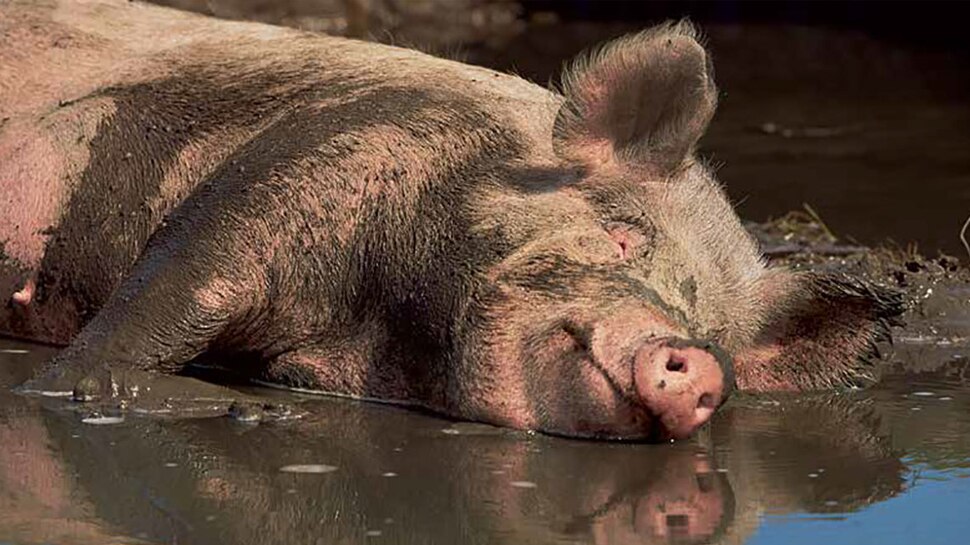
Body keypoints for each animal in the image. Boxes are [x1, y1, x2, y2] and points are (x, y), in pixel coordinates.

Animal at [0, 0, 902, 441]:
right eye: (622, 234)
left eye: (716, 327)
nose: (699, 358)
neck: (379, 331)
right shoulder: (307, 160)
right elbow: (171, 288)